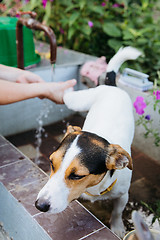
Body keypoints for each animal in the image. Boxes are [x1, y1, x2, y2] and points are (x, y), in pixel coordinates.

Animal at [35, 46, 141, 237]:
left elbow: (117, 211)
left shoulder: (123, 195)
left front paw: (117, 227)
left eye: (77, 176)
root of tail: (111, 86)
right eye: (51, 163)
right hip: (79, 101)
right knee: (69, 97)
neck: (95, 189)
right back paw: (65, 87)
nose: (40, 205)